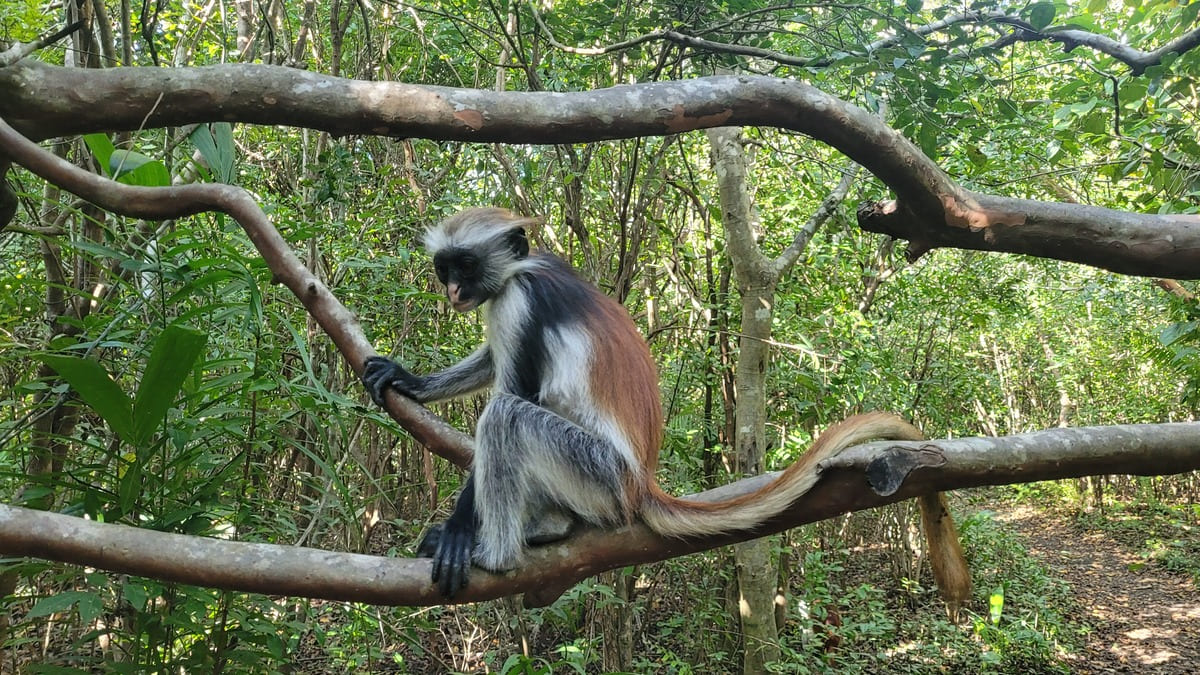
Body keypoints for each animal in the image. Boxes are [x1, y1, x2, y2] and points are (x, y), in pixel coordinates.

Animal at [360, 207, 960, 595]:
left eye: (465, 267)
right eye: (445, 268)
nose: (452, 291)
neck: (524, 269)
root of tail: (640, 484)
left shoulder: (521, 300)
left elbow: (512, 392)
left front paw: (460, 531)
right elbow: (491, 361)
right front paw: (409, 379)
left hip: (599, 474)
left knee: (507, 418)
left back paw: (498, 556)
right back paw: (549, 528)